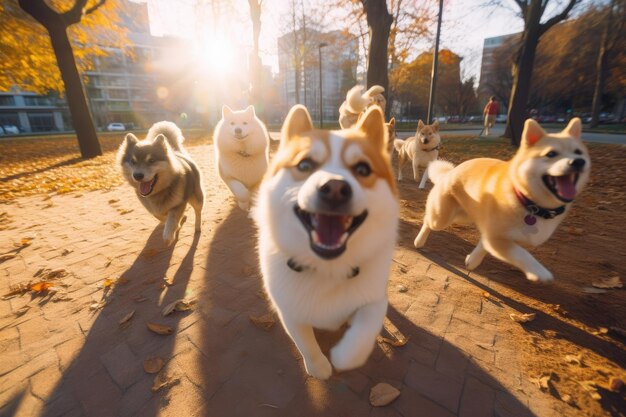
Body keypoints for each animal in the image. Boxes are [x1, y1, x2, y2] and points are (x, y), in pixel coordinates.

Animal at [252, 103, 394, 376]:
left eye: (362, 169)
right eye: (305, 165)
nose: (335, 189)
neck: (327, 269)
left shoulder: (374, 298)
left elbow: (366, 326)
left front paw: (344, 356)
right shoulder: (290, 312)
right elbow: (305, 343)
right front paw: (319, 368)